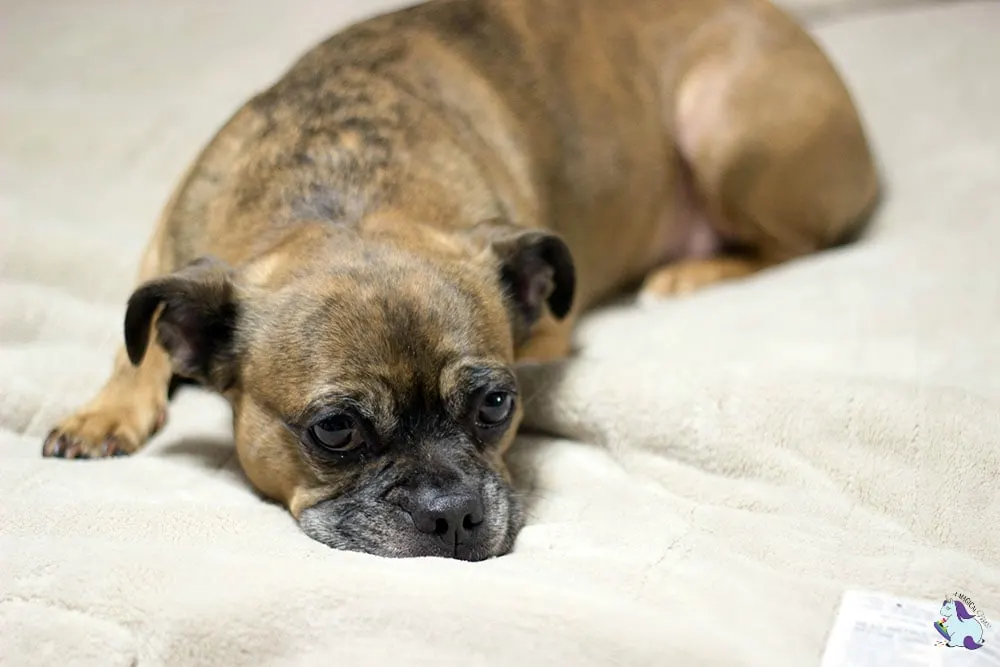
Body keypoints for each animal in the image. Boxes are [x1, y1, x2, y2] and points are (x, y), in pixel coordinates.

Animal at [43, 0, 880, 564]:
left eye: (496, 404)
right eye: (335, 430)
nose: (450, 513)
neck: (341, 194)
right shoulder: (164, 252)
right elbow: (138, 341)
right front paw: (106, 410)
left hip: (723, 125)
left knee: (796, 241)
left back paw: (691, 273)